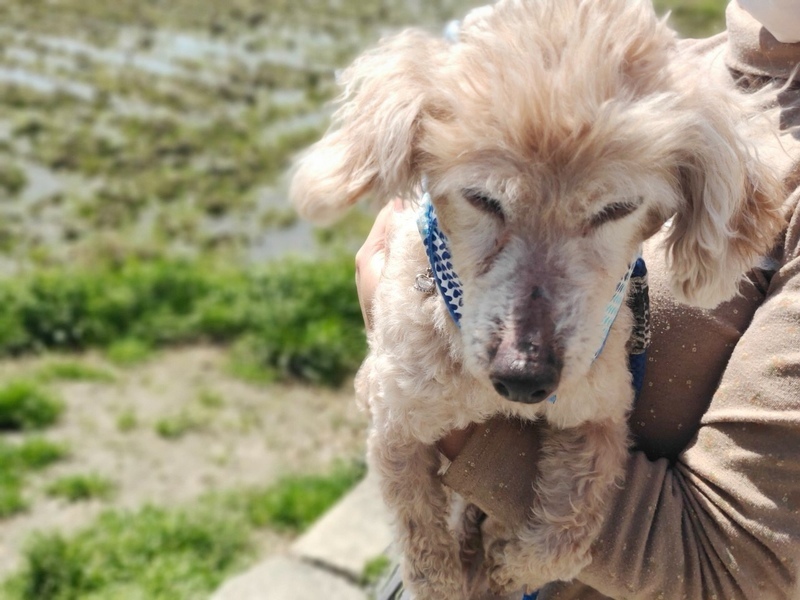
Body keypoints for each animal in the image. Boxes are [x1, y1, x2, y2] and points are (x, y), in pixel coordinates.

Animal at [290, 0, 784, 597]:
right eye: (482, 198)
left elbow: (575, 525)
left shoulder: (600, 412)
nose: (524, 378)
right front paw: (461, 569)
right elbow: (424, 549)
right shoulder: (393, 417)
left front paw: (511, 561)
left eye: (616, 209)